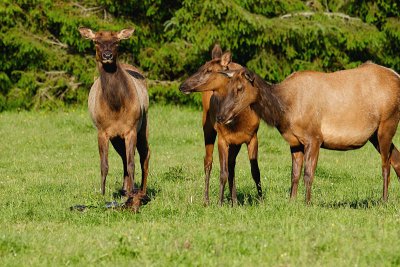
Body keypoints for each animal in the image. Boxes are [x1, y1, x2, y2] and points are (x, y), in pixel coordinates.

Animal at [79, 27, 151, 211]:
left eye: (117, 42)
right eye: (96, 41)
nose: (107, 55)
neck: (116, 107)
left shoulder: (131, 129)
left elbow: (133, 163)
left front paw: (134, 194)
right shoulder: (102, 131)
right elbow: (104, 165)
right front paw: (103, 194)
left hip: (143, 124)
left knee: (145, 154)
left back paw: (140, 189)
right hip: (116, 138)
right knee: (124, 158)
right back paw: (125, 189)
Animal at [179, 45, 262, 206]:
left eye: (209, 70)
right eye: (200, 68)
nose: (182, 85)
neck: (239, 119)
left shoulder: (252, 137)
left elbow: (255, 171)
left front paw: (261, 200)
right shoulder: (223, 138)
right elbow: (222, 173)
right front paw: (219, 202)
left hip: (235, 142)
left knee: (231, 164)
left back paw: (234, 201)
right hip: (207, 127)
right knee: (208, 161)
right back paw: (206, 200)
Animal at [217, 63, 400, 204]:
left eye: (240, 88)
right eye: (227, 87)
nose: (220, 116)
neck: (284, 111)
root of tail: (396, 76)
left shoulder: (314, 137)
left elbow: (308, 174)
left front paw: (307, 203)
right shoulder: (295, 142)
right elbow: (294, 174)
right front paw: (291, 202)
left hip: (387, 123)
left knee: (385, 165)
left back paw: (384, 200)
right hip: (374, 135)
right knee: (395, 159)